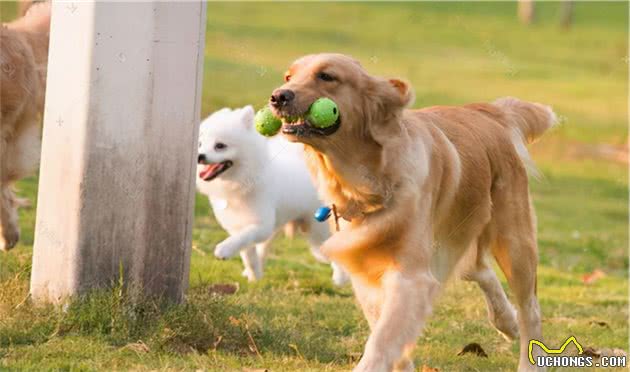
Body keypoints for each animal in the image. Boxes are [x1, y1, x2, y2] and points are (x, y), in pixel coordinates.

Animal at [196, 105, 348, 284]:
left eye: (220, 146)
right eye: (200, 144)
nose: (199, 156)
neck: (240, 181)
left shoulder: (262, 225)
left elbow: (244, 237)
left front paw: (225, 249)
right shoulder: (238, 225)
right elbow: (247, 252)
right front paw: (254, 275)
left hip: (317, 232)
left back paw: (341, 278)